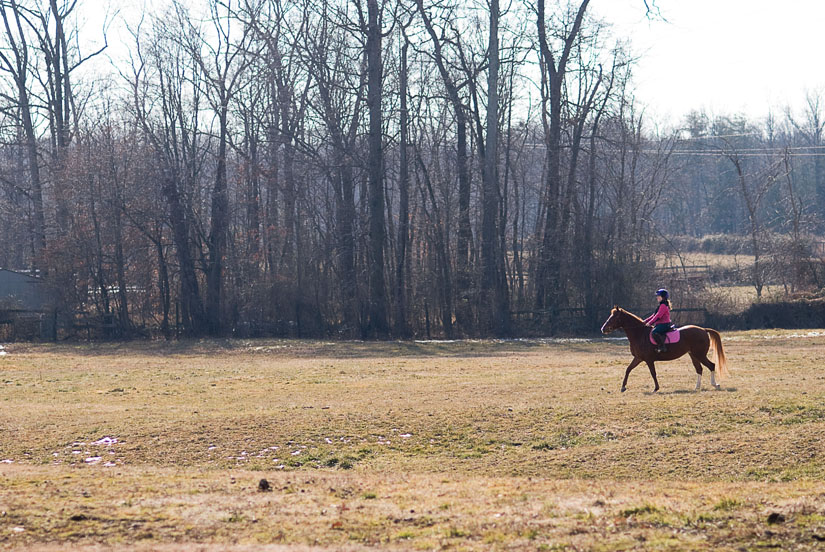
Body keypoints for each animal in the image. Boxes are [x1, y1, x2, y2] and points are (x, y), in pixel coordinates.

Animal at [600, 306, 728, 392]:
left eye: (614, 318)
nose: (603, 329)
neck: (640, 334)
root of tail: (703, 330)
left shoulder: (649, 360)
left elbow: (653, 373)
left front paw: (656, 388)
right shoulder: (638, 358)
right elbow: (628, 369)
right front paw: (623, 387)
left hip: (699, 355)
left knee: (711, 365)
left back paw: (715, 384)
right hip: (693, 355)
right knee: (699, 369)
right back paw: (697, 387)